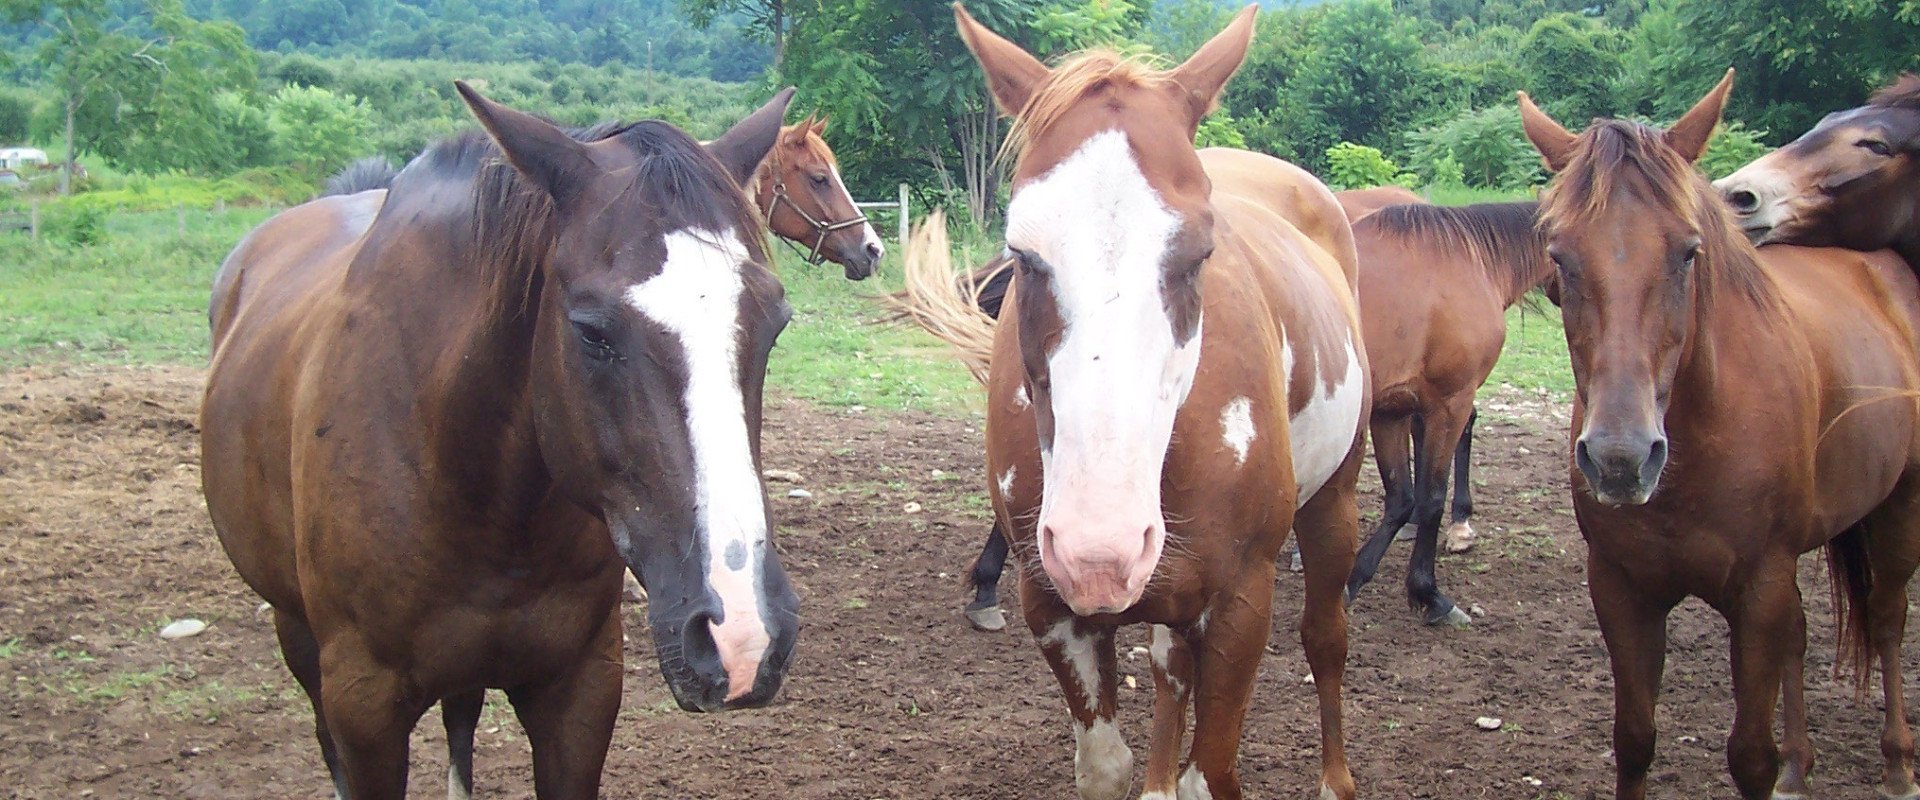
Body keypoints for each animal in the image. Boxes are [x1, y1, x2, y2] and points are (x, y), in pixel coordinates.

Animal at [206, 84, 806, 794]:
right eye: (590, 330)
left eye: (775, 324)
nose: (742, 633)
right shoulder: (362, 705)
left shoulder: (580, 692)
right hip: (296, 633)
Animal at [902, 7, 1367, 798]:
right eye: (1021, 255)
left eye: (1200, 253)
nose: (1099, 552)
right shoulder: (1052, 605)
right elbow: (1107, 762)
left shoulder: (1242, 604)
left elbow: (1213, 772)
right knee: (1171, 667)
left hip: (1333, 504)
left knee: (1325, 640)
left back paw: (1336, 778)